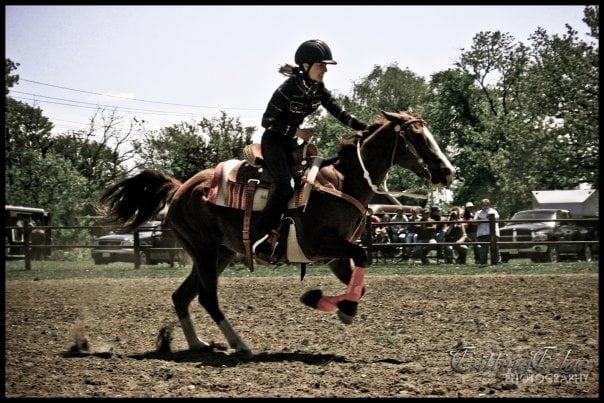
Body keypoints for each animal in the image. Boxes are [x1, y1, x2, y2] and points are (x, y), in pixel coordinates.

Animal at [101, 110, 456, 356]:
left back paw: (199, 344)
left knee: (182, 296)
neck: (342, 182)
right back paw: (239, 344)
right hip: (204, 251)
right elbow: (362, 258)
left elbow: (360, 281)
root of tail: (179, 189)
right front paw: (340, 308)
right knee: (206, 297)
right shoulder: (320, 245)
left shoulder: (335, 256)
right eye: (418, 137)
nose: (447, 171)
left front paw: (337, 306)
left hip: (220, 253)